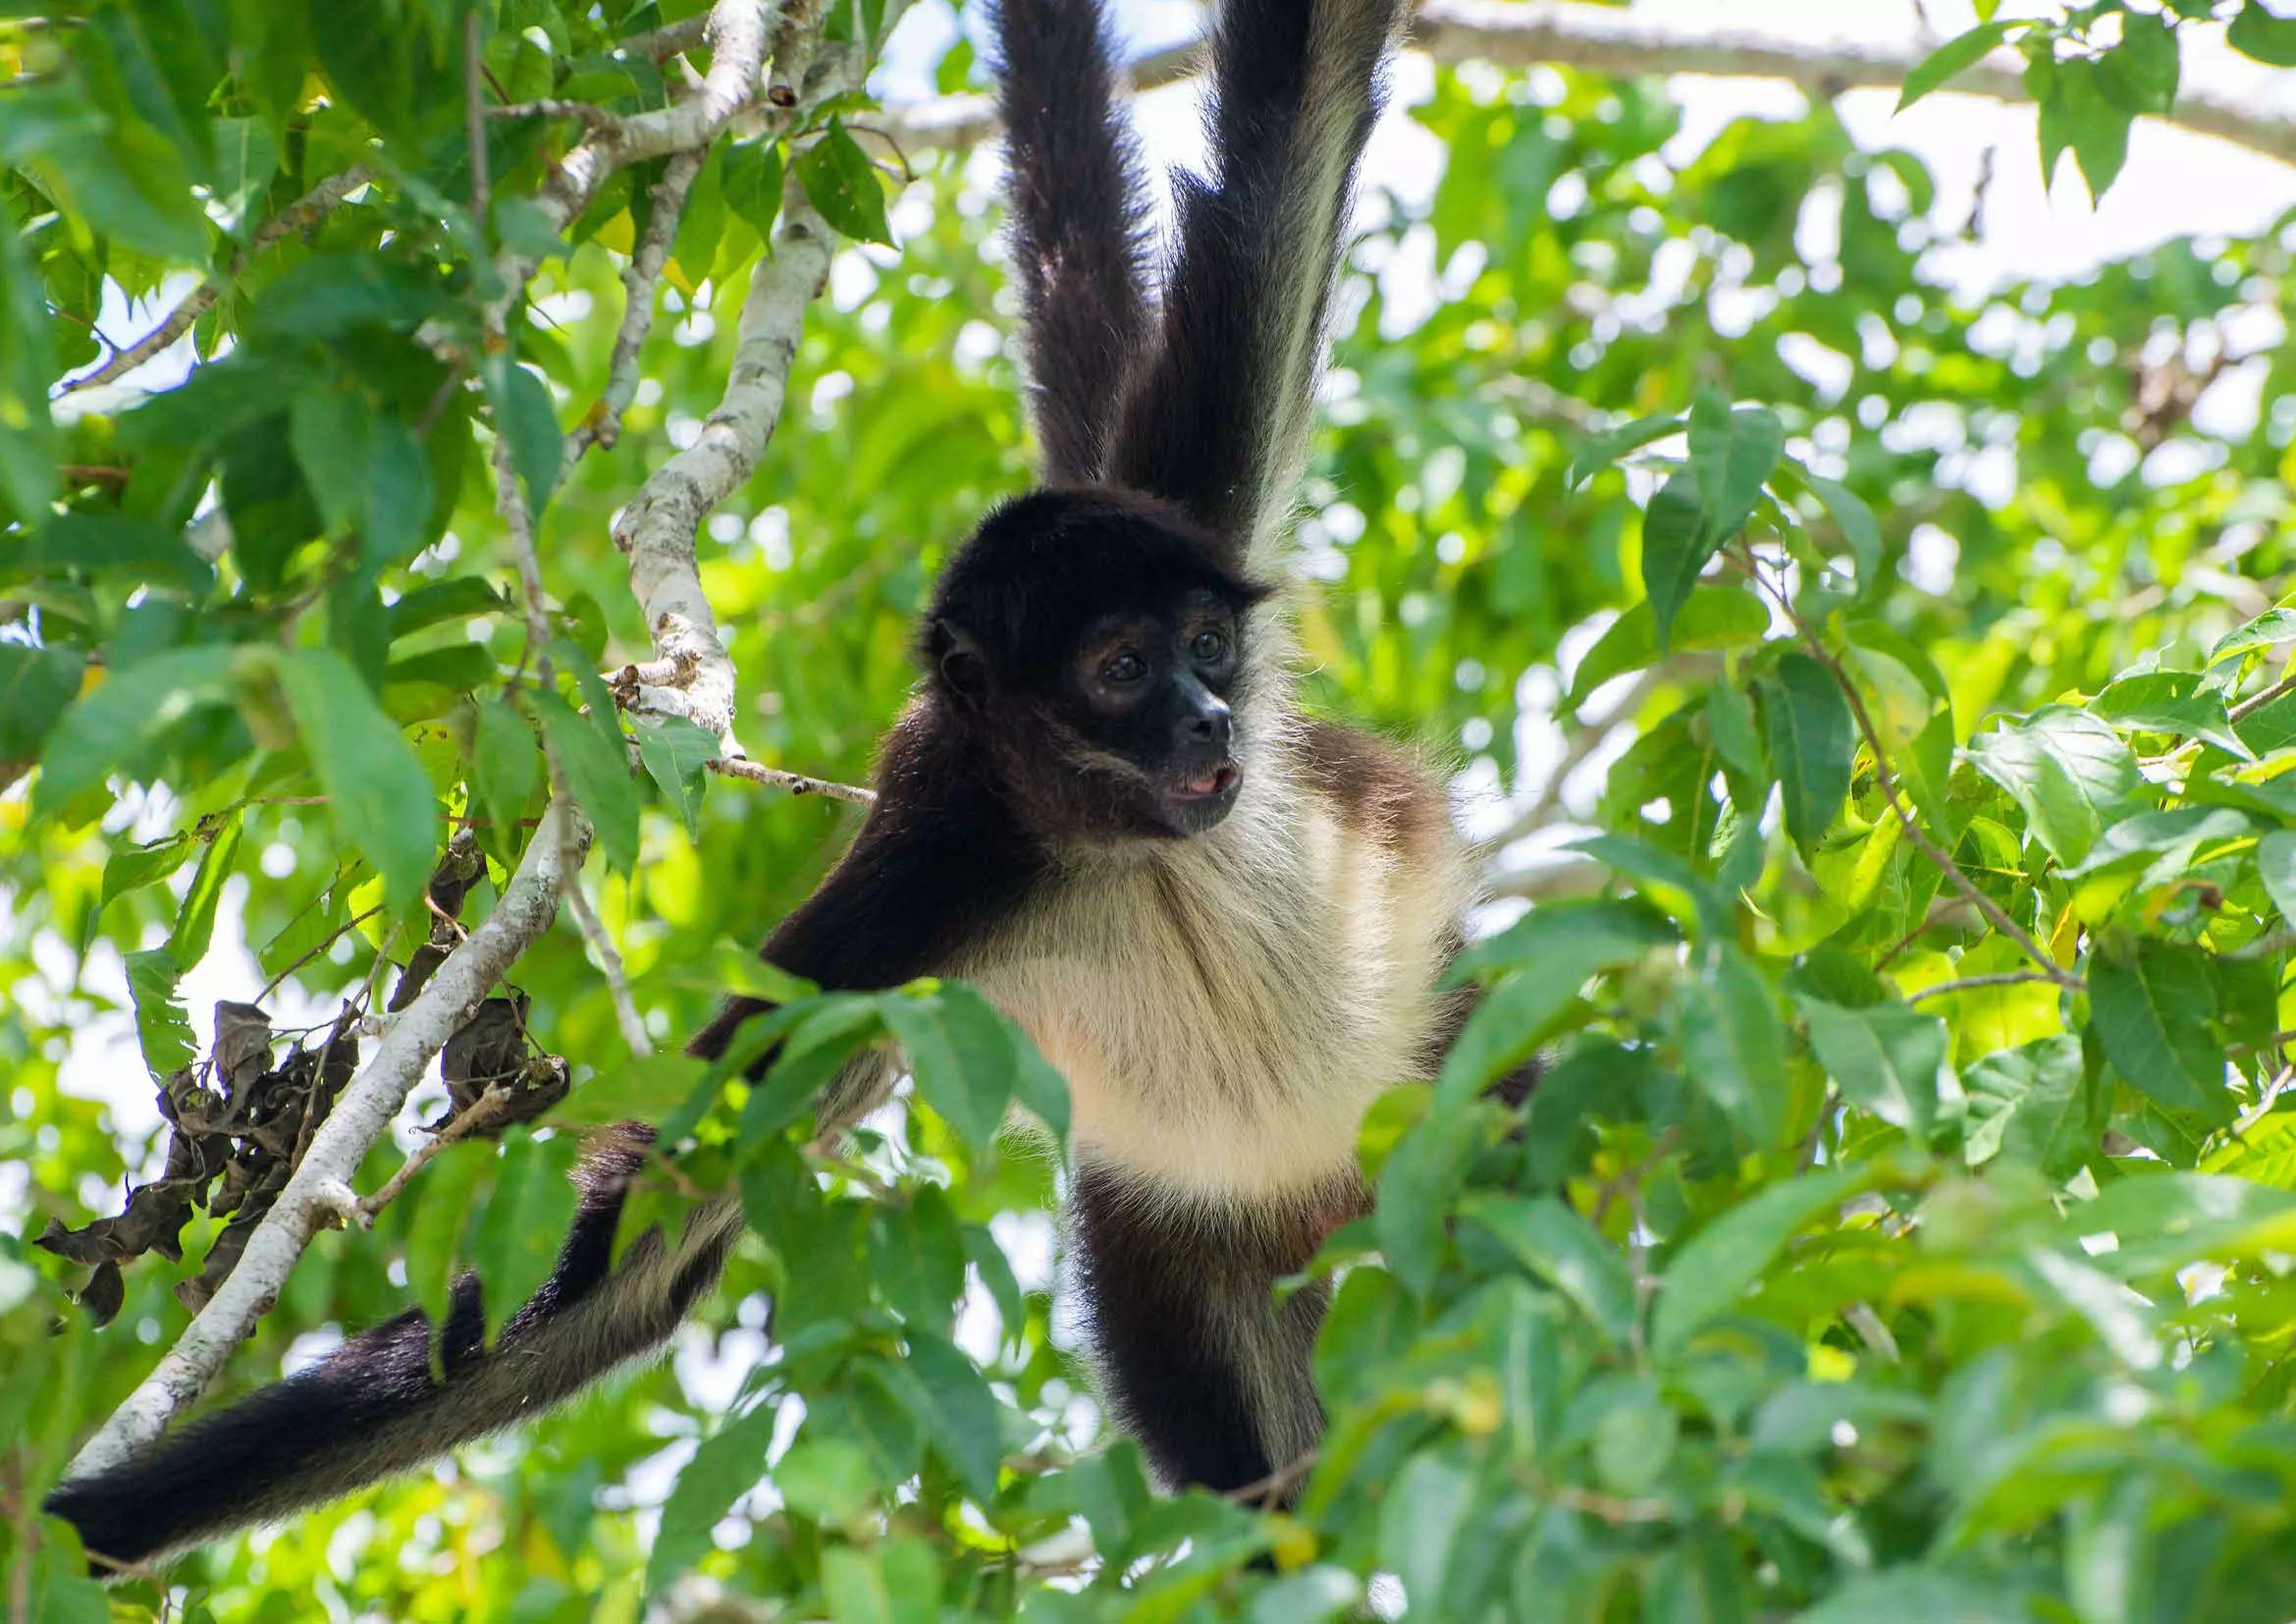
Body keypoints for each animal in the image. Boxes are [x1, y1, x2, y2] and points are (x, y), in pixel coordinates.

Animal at [53, 0, 1524, 1571]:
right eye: (1121, 666)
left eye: (1202, 642)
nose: (1205, 717)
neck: (1111, 840)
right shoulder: (920, 887)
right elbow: (625, 1266)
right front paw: (87, 1527)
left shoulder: (1187, 522)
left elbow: (1293, 106)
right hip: (1186, 1242)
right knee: (1269, 1484)